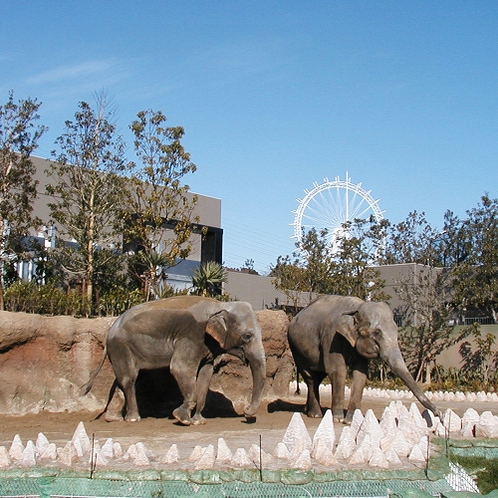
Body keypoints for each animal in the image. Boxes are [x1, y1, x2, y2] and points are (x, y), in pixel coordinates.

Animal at [82, 294, 268, 426]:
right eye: (247, 336)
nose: (245, 411)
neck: (220, 305)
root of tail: (110, 330)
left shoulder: (207, 346)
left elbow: (205, 375)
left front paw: (199, 421)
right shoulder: (192, 336)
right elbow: (180, 368)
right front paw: (182, 419)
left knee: (122, 379)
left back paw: (114, 419)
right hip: (121, 346)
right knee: (129, 379)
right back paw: (134, 419)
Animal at [286, 296, 438, 424]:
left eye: (396, 331)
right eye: (377, 332)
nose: (438, 414)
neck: (356, 307)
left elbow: (360, 373)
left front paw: (351, 420)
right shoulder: (331, 337)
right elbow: (338, 371)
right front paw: (338, 419)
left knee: (318, 377)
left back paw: (308, 411)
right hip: (297, 350)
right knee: (310, 378)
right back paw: (315, 414)